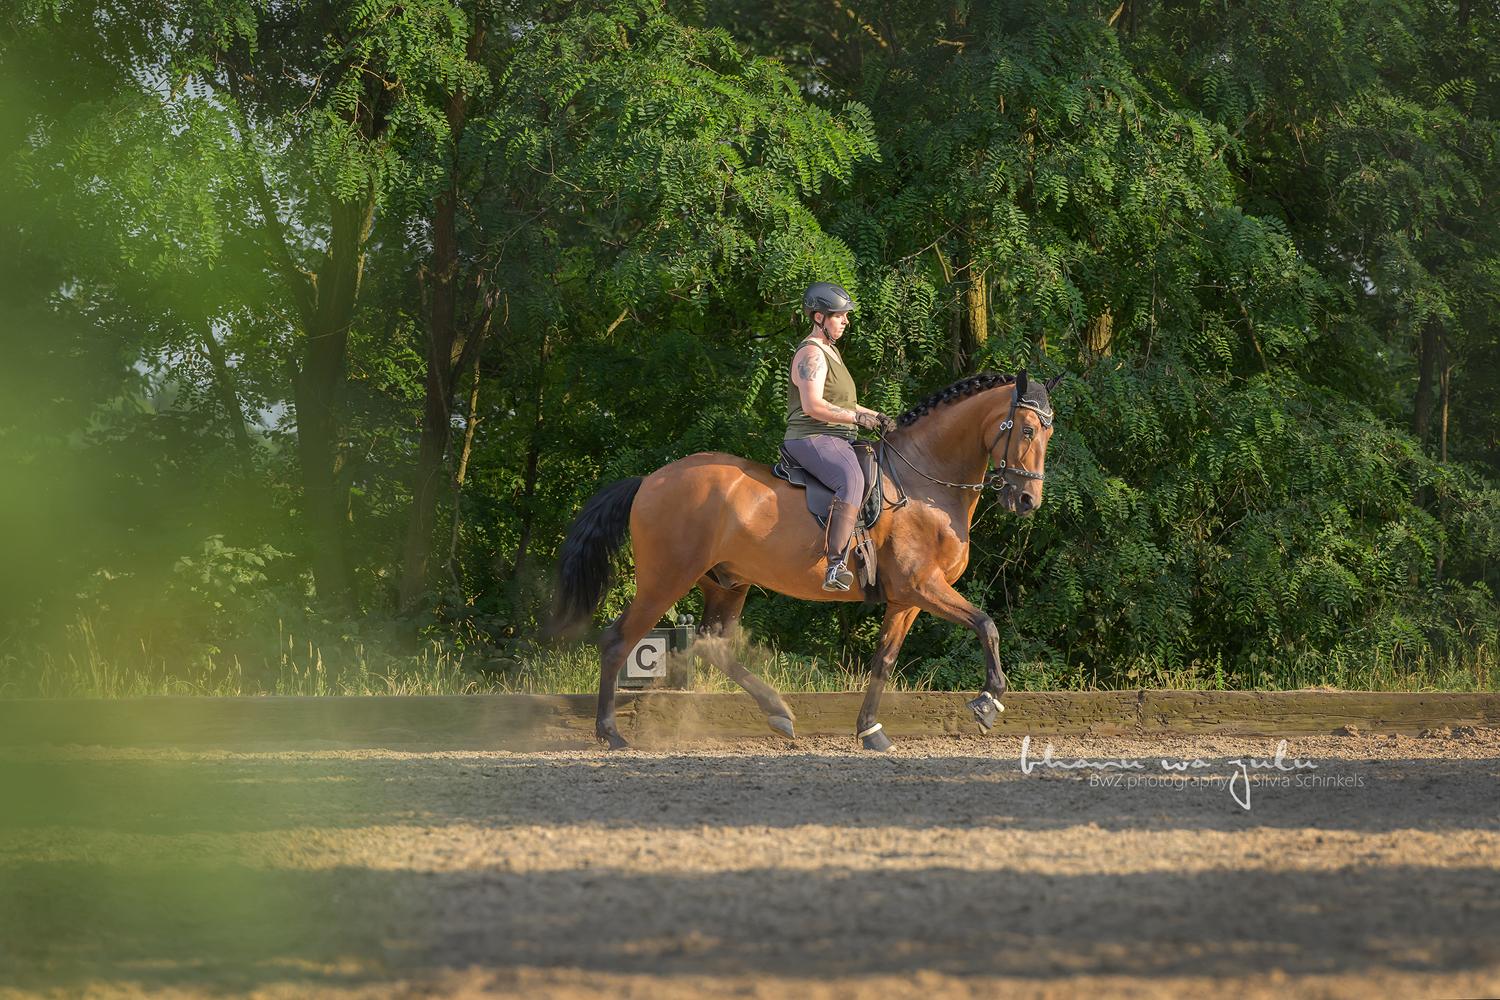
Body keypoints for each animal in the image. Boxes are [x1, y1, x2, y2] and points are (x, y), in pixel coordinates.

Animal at [555, 370, 1068, 749]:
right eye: (1026, 429)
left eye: (1049, 431)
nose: (1027, 500)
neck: (925, 480)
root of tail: (650, 481)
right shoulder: (923, 585)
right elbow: (987, 624)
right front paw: (988, 703)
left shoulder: (907, 598)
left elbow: (884, 660)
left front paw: (870, 731)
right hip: (666, 579)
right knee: (618, 641)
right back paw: (611, 734)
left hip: (727, 583)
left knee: (712, 644)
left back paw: (779, 714)